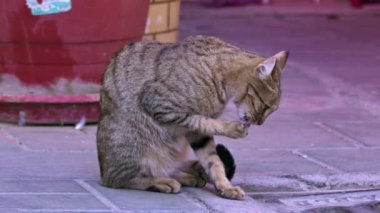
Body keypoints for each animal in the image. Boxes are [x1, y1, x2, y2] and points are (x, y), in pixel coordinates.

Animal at [95, 35, 288, 200]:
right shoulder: (162, 106)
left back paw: (186, 177)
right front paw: (232, 129)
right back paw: (161, 181)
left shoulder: (196, 134)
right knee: (121, 179)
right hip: (132, 142)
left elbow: (213, 160)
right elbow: (204, 121)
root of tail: (103, 170)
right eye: (266, 106)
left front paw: (225, 187)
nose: (260, 123)